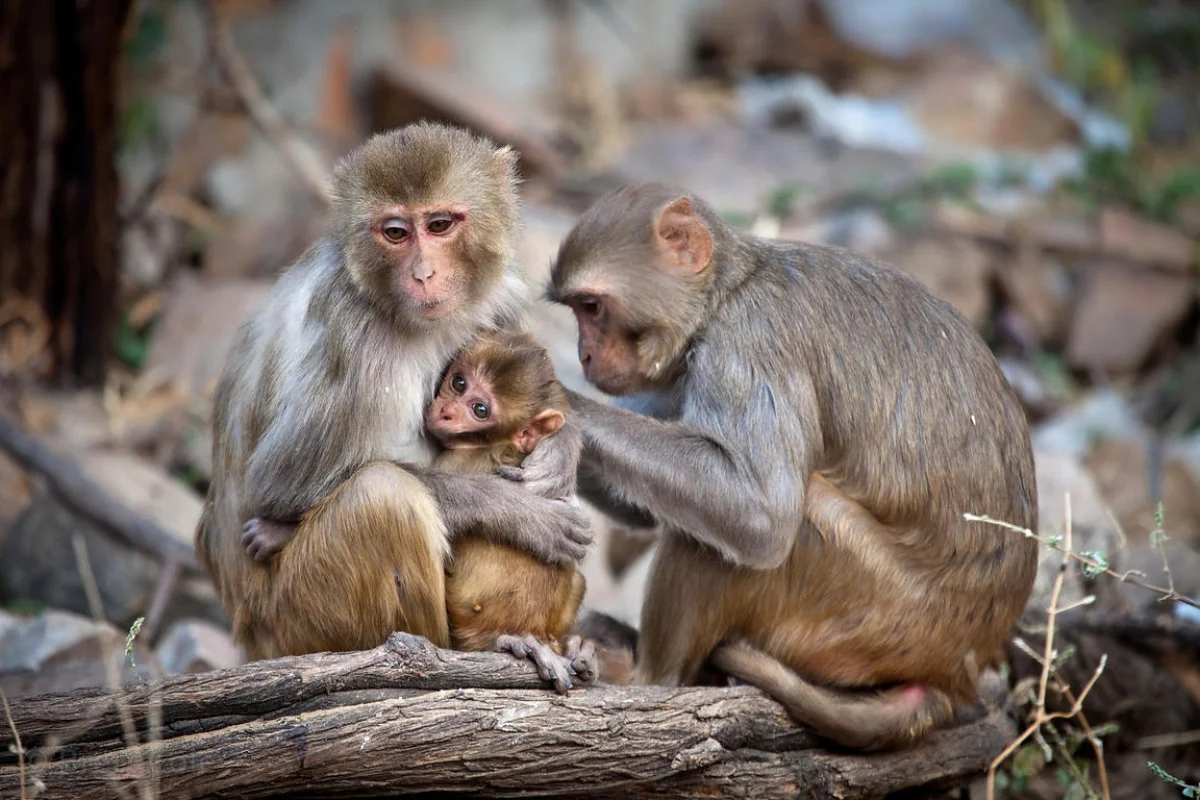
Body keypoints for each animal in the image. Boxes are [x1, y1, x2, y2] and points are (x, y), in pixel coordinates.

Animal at [547, 181, 1041, 753]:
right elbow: (646, 510)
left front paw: (556, 398)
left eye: (591, 306)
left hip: (870, 615)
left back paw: (644, 677)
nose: (583, 355)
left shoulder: (748, 342)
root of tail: (954, 674)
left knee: (749, 532)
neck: (727, 291)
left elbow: (759, 514)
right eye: (577, 310)